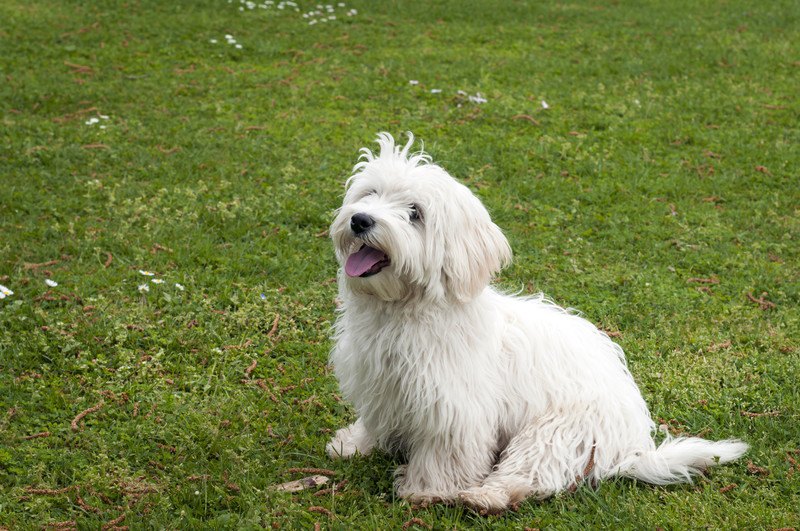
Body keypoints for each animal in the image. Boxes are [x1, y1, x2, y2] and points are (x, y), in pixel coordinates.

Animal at [324, 133, 744, 516]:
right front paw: (354, 444)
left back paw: (485, 497)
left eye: (415, 213)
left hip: (557, 432)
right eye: (370, 193)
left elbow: (445, 452)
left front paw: (426, 490)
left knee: (530, 473)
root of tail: (632, 447)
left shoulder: (454, 407)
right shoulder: (380, 383)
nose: (360, 220)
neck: (402, 309)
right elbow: (374, 420)